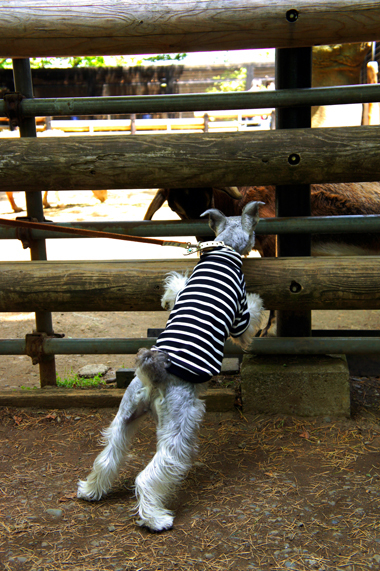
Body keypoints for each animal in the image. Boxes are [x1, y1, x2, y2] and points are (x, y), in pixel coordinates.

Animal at [78, 201, 264, 532]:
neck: (224, 249)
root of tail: (155, 374)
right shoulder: (240, 318)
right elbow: (250, 316)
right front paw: (259, 303)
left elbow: (175, 288)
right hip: (179, 427)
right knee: (151, 474)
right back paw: (156, 518)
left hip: (124, 416)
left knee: (107, 457)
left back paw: (90, 490)